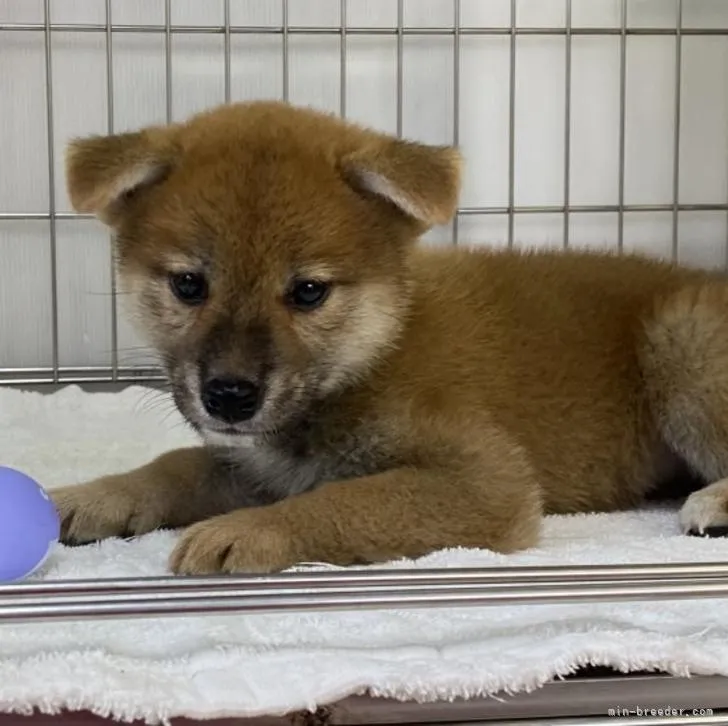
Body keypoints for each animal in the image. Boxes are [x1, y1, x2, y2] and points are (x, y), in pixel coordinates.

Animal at [54, 101, 728, 576]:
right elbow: (177, 464)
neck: (372, 353)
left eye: (308, 291)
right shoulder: (256, 463)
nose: (229, 396)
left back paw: (714, 505)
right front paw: (96, 496)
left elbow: (343, 501)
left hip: (682, 338)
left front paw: (248, 531)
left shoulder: (486, 479)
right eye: (189, 285)